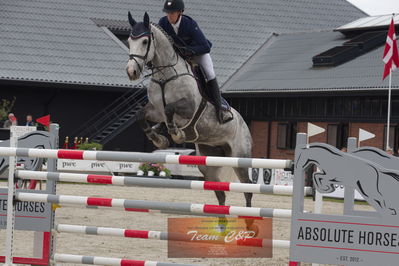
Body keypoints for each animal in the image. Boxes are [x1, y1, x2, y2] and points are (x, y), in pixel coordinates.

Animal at [126, 12, 253, 209]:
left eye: (145, 41)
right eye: (129, 40)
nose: (131, 71)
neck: (165, 75)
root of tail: (244, 123)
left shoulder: (189, 108)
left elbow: (170, 109)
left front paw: (176, 135)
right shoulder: (156, 111)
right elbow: (142, 116)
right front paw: (159, 139)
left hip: (240, 157)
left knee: (247, 188)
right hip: (209, 161)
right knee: (220, 192)